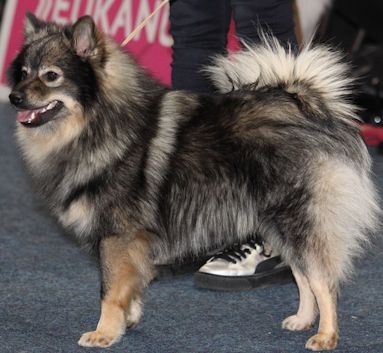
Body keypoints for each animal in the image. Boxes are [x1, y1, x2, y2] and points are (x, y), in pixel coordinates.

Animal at [8, 13, 380, 350]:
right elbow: (131, 286)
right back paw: (303, 320)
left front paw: (105, 333)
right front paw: (129, 319)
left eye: (51, 76)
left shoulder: (117, 237)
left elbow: (110, 291)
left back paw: (326, 335)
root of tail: (311, 109)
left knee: (322, 280)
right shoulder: (132, 244)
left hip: (296, 220)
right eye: (23, 73)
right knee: (303, 276)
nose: (13, 97)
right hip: (277, 223)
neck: (101, 123)